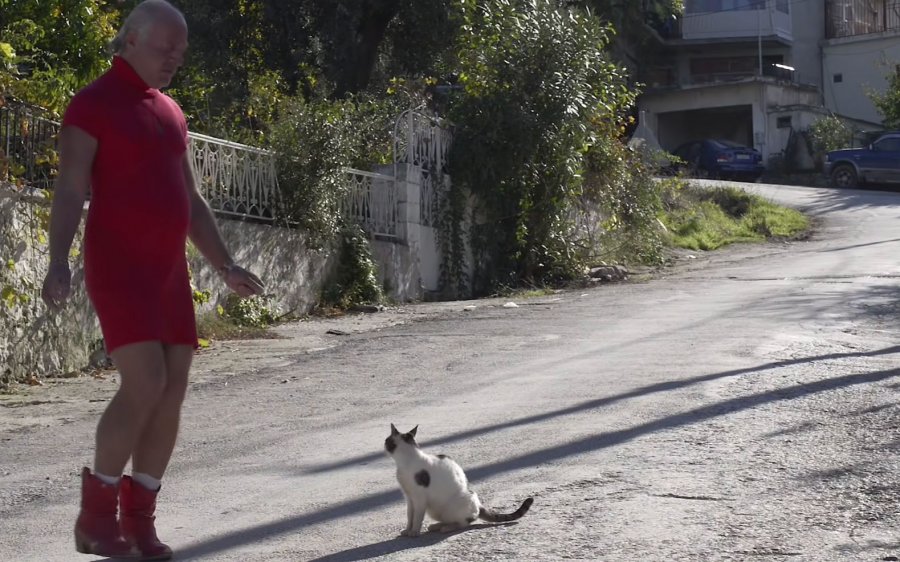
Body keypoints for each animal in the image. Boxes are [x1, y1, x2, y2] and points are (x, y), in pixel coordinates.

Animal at [382, 422, 536, 536]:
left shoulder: (419, 499)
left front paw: (414, 532)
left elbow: (417, 517)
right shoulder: (409, 497)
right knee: (450, 520)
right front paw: (407, 530)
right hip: (436, 510)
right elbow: (410, 516)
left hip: (454, 504)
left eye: (387, 441)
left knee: (463, 523)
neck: (405, 461)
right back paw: (437, 526)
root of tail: (478, 504)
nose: (384, 445)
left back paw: (446, 528)